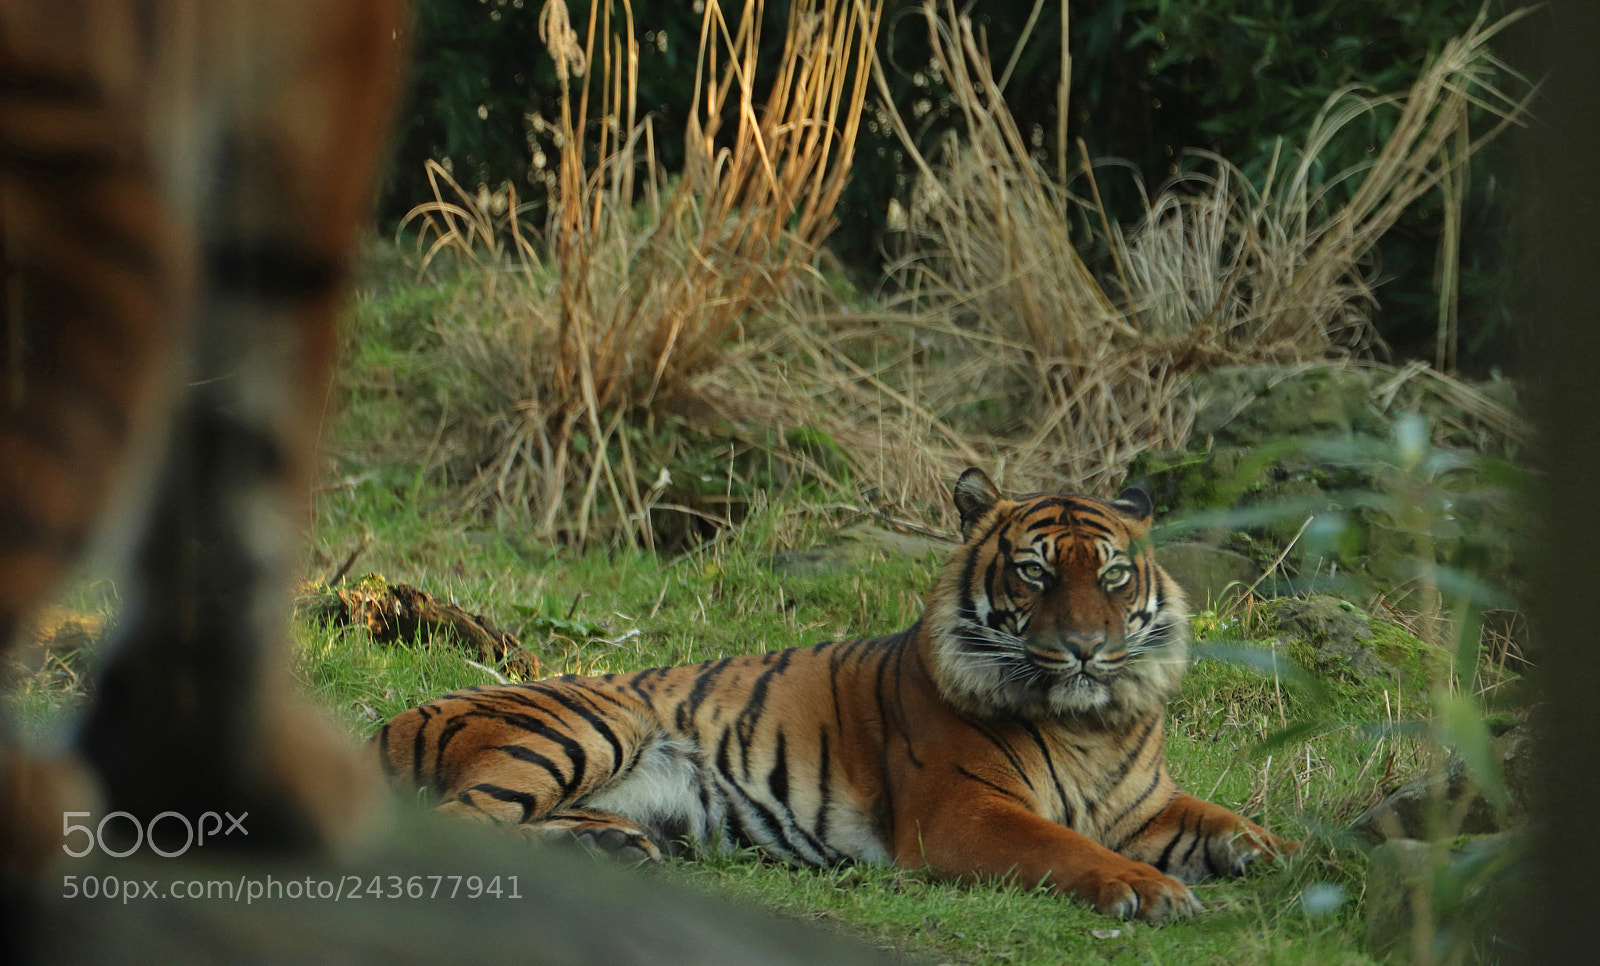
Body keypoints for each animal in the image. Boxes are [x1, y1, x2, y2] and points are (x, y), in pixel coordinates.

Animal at [378, 468, 1298, 923]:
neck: (1090, 725)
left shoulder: (1149, 805)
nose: (1086, 649)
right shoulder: (965, 812)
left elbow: (1231, 824)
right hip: (590, 724)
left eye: (1112, 576)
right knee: (459, 823)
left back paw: (610, 849)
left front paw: (1291, 857)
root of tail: (392, 719)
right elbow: (1067, 849)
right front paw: (1152, 892)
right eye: (1035, 572)